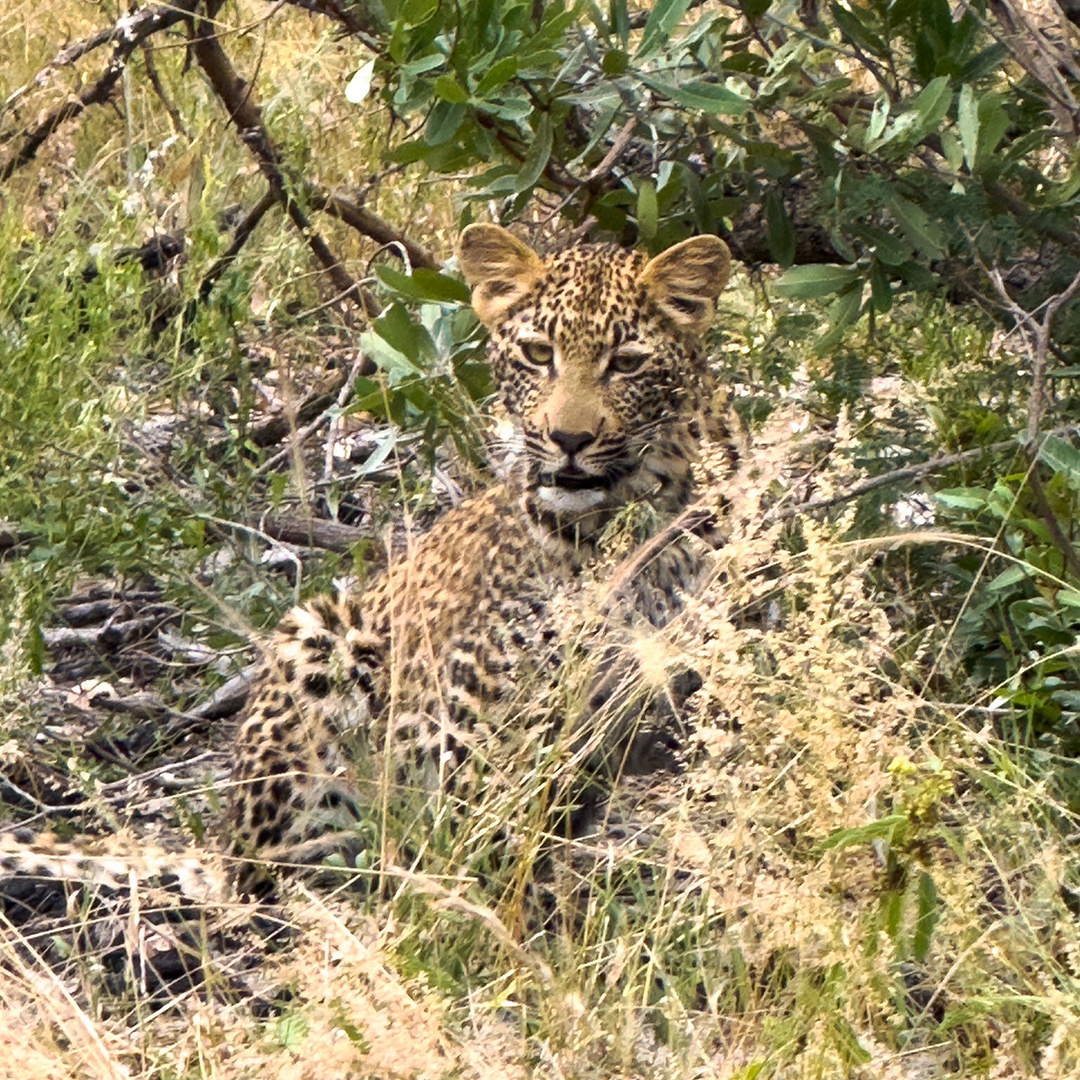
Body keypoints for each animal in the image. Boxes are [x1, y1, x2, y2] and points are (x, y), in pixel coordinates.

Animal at [226, 224, 734, 893]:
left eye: (627, 362)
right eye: (539, 354)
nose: (569, 440)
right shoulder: (463, 712)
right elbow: (486, 821)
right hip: (318, 634)